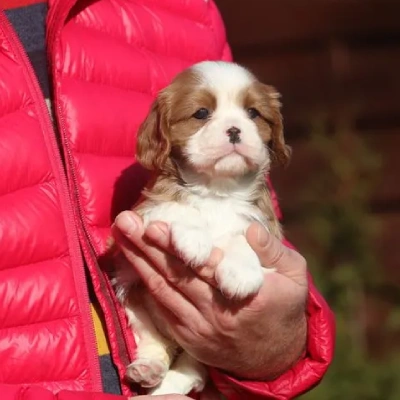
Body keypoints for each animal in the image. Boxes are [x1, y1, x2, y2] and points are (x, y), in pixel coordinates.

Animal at [108, 61, 290, 396]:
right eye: (201, 113)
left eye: (253, 113)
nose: (234, 129)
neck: (217, 189)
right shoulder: (140, 214)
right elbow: (177, 208)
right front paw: (194, 240)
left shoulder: (265, 228)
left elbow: (242, 234)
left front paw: (241, 273)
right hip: (132, 292)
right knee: (155, 342)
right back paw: (149, 370)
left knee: (192, 371)